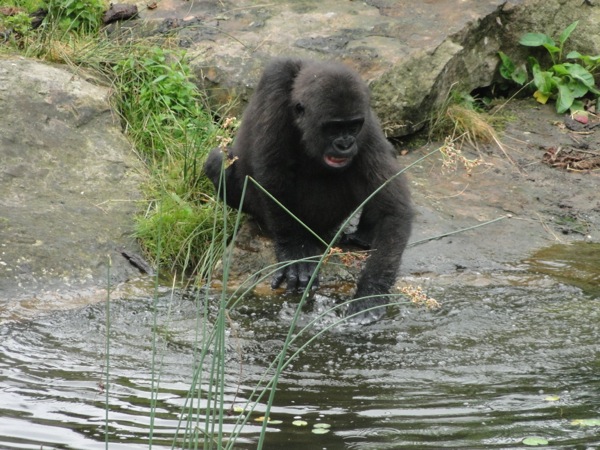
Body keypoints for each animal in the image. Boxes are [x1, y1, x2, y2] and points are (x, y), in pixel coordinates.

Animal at [203, 57, 412, 324]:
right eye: (333, 128)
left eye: (353, 127)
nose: (345, 144)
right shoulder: (275, 84)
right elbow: (272, 174)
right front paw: (294, 250)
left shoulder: (367, 126)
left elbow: (393, 210)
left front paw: (371, 293)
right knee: (217, 161)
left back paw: (364, 234)